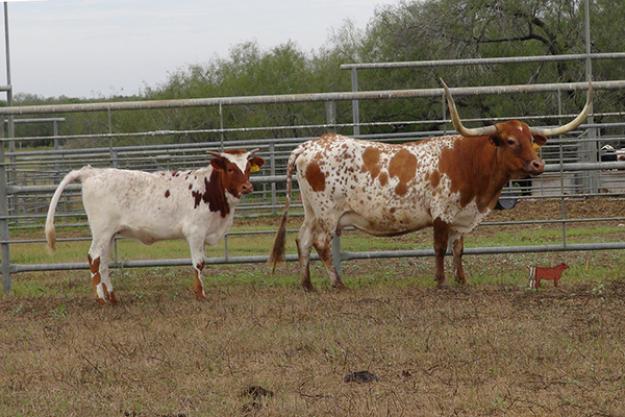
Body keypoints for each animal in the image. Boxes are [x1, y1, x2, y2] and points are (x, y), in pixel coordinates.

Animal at [45, 149, 264, 304]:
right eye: (230, 168)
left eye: (247, 169)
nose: (247, 187)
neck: (208, 188)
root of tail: (91, 172)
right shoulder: (195, 232)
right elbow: (199, 263)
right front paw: (200, 294)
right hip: (101, 231)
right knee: (93, 258)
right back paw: (100, 299)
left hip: (109, 235)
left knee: (104, 263)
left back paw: (113, 297)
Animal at [269, 80, 592, 290]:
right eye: (511, 141)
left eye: (531, 140)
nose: (538, 165)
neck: (469, 162)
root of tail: (309, 146)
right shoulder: (441, 213)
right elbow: (439, 248)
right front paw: (441, 281)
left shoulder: (461, 217)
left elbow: (458, 249)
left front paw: (462, 281)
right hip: (328, 213)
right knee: (321, 243)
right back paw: (338, 283)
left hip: (312, 212)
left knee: (302, 240)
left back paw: (307, 285)